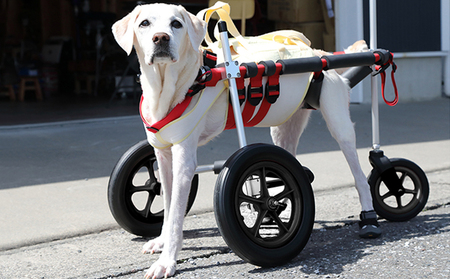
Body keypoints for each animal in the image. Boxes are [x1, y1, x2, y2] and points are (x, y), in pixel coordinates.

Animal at [113, 3, 380, 278]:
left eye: (176, 24)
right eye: (144, 23)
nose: (161, 38)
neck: (177, 85)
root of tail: (320, 53)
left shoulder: (183, 161)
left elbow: (176, 215)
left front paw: (167, 262)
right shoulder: (164, 158)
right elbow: (167, 206)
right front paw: (161, 241)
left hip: (340, 126)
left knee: (360, 177)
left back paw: (369, 217)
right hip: (283, 128)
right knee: (289, 164)